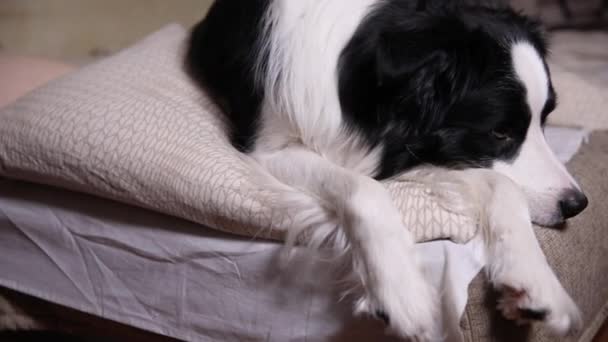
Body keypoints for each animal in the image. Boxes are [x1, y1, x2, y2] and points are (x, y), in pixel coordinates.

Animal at [186, 0, 588, 340]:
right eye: (499, 132)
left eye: (544, 119)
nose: (577, 204)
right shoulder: (265, 148)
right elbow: (362, 188)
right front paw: (402, 293)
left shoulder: (421, 147)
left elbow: (504, 186)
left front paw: (535, 280)